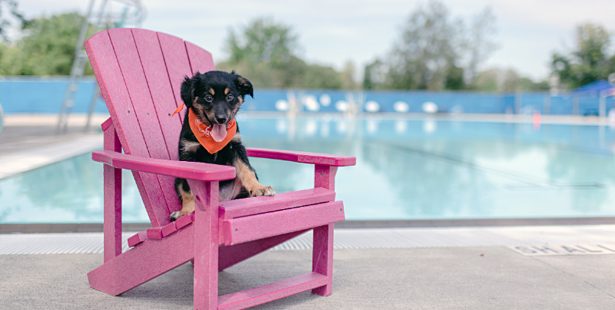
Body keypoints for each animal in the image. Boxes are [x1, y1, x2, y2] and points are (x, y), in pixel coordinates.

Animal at [168, 71, 274, 220]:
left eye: (230, 97)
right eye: (208, 97)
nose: (221, 119)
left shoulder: (236, 147)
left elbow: (247, 170)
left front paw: (259, 188)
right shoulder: (188, 154)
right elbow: (189, 188)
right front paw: (187, 211)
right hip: (177, 179)